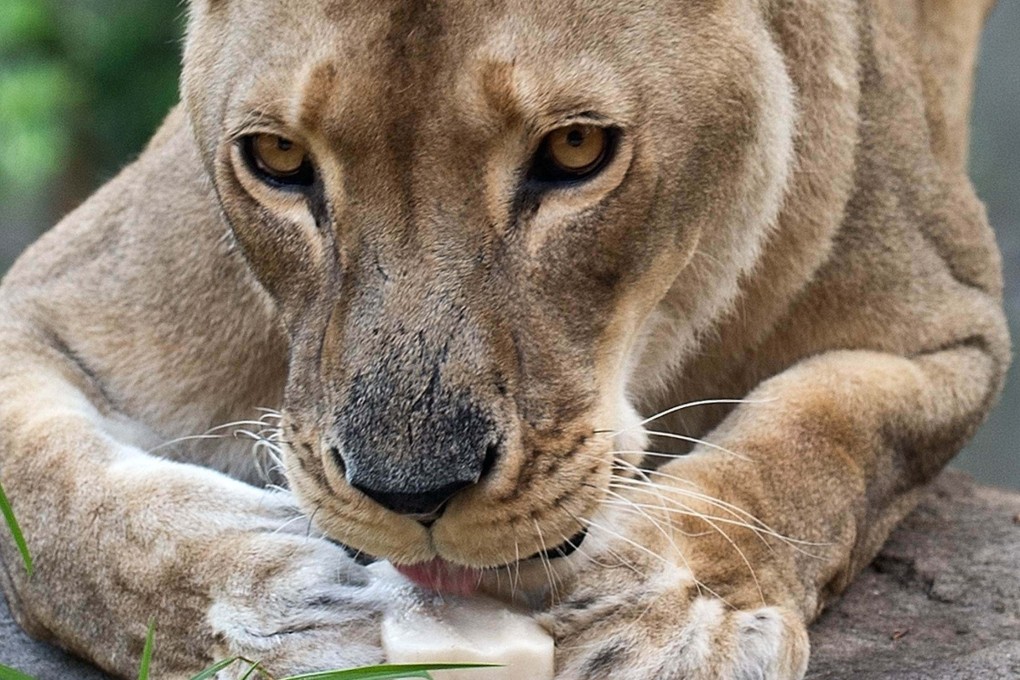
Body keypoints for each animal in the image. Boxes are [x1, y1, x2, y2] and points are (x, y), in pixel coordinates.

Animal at [0, 0, 1009, 678]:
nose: (411, 494)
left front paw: (669, 606)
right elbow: (54, 513)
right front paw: (276, 612)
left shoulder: (953, 325)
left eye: (575, 150)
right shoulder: (47, 301)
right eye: (278, 159)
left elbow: (823, 441)